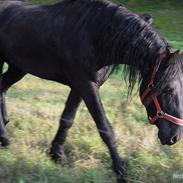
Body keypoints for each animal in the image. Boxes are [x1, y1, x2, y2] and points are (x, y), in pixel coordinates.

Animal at [0, 0, 183, 182]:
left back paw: (5, 132)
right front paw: (121, 171)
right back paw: (4, 137)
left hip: (18, 68)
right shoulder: (86, 85)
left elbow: (67, 119)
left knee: (2, 86)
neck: (94, 33)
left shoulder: (79, 86)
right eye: (168, 89)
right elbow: (105, 128)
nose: (174, 137)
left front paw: (57, 154)